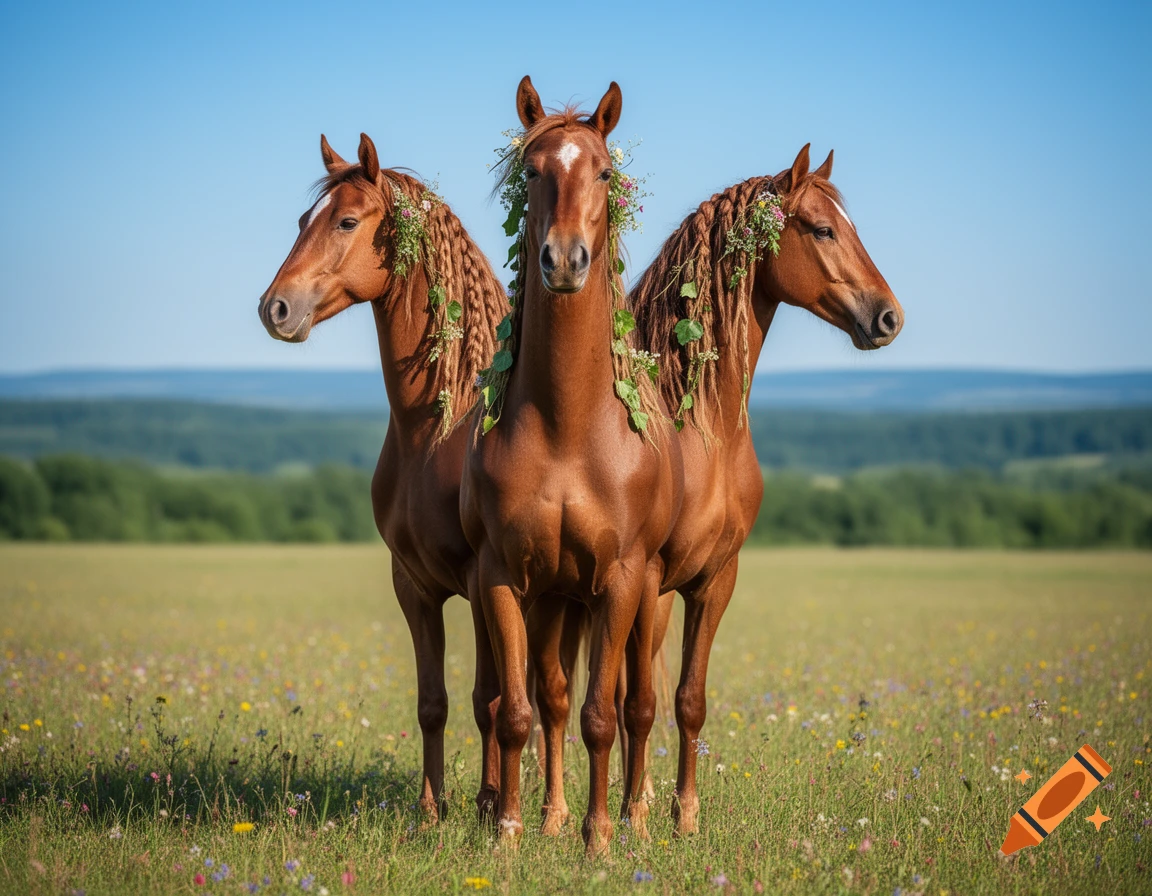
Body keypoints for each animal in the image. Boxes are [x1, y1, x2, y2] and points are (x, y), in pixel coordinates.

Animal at [256, 133, 512, 822]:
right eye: (302, 221)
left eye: (347, 221)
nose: (275, 308)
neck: (439, 426)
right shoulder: (413, 585)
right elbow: (434, 704)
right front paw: (431, 811)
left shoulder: (482, 580)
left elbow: (489, 700)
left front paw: (489, 806)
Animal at [460, 77, 684, 857]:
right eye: (532, 172)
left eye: (606, 173)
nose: (563, 261)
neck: (566, 432)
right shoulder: (503, 576)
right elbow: (520, 711)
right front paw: (509, 832)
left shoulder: (618, 581)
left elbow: (601, 715)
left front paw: (599, 840)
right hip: (554, 599)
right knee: (552, 698)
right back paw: (554, 814)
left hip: (648, 598)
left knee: (636, 705)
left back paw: (636, 817)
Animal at [627, 143, 905, 836]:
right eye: (823, 230)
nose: (889, 317)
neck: (701, 430)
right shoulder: (644, 578)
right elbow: (637, 702)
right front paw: (634, 824)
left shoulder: (714, 580)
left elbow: (687, 700)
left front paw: (684, 818)